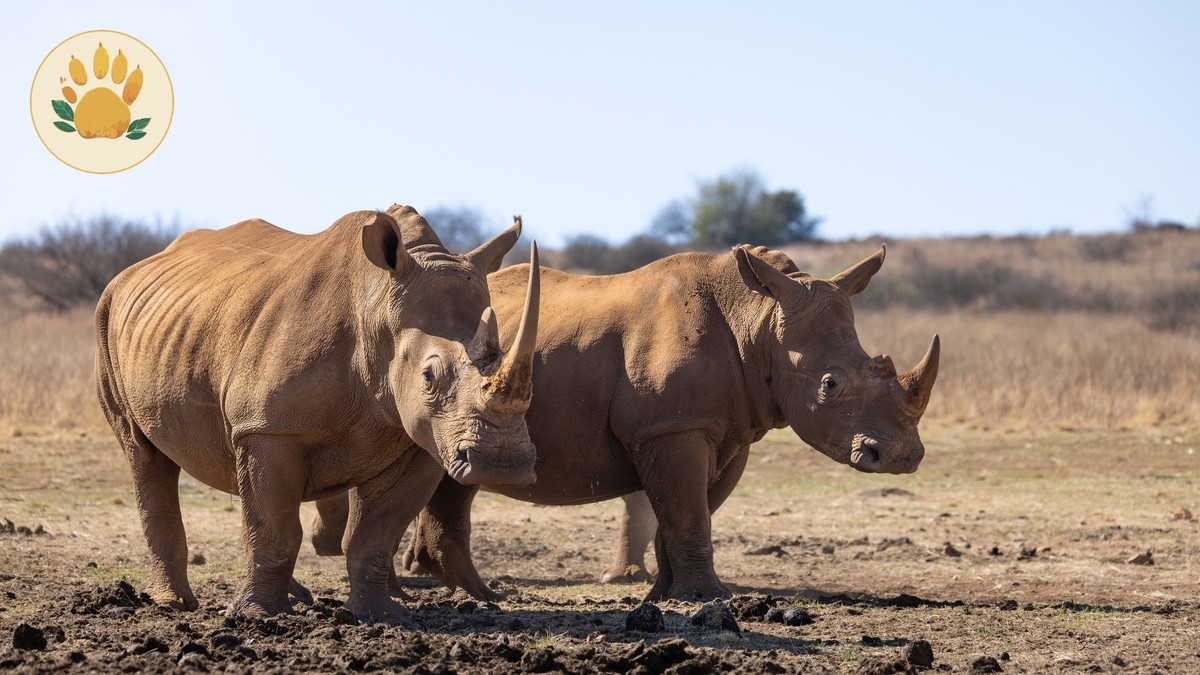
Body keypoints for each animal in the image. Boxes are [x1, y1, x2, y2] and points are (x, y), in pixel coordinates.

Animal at [94, 205, 541, 623]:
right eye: (428, 377)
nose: (502, 464)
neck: (377, 308)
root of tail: (141, 266)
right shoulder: (269, 430)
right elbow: (275, 529)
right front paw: (257, 616)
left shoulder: (424, 442)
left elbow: (376, 535)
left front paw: (380, 615)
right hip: (106, 315)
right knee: (144, 454)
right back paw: (174, 605)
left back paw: (294, 597)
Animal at [314, 244, 939, 601]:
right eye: (830, 385)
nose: (902, 457)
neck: (760, 318)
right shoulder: (673, 426)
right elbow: (688, 510)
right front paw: (708, 600)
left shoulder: (721, 429)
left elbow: (689, 511)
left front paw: (667, 594)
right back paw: (456, 597)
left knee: (454, 476)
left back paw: (470, 595)